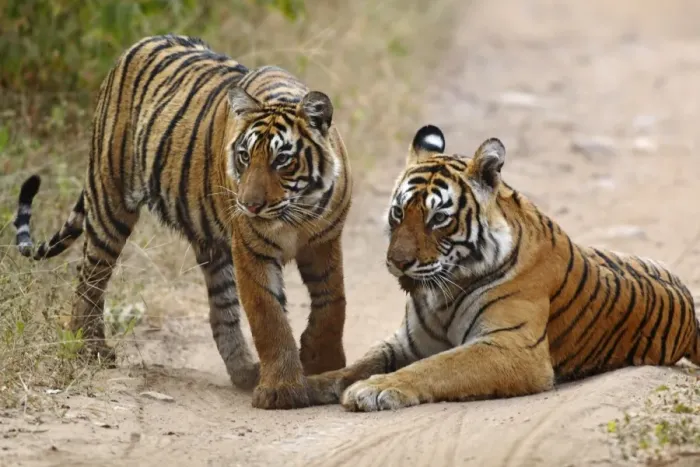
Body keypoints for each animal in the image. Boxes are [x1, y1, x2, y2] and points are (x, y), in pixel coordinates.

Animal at [12, 34, 353, 410]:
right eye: (244, 157)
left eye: (282, 160)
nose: (249, 206)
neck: (296, 211)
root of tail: (138, 44)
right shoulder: (252, 250)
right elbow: (269, 316)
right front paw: (283, 390)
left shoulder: (324, 242)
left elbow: (332, 304)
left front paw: (323, 362)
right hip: (109, 202)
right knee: (90, 278)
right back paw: (90, 349)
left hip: (211, 244)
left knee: (221, 310)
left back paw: (245, 372)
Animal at [304, 124, 700, 412]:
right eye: (399, 212)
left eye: (438, 218)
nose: (397, 262)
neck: (442, 294)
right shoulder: (407, 341)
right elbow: (359, 363)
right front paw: (311, 384)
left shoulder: (513, 347)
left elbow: (439, 366)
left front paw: (375, 389)